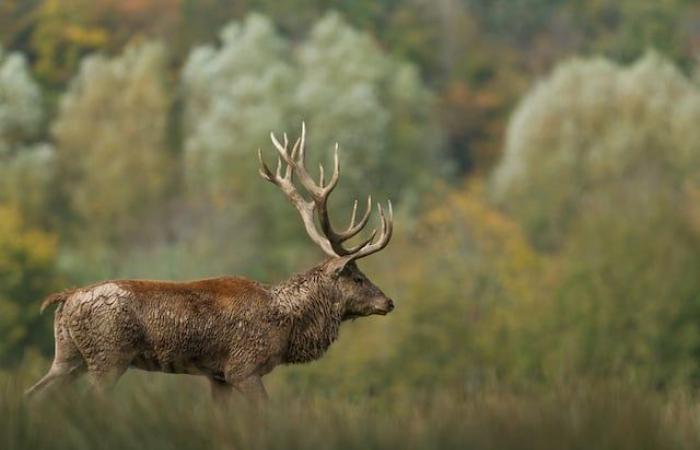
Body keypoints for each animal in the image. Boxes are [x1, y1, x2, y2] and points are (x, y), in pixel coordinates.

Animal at [26, 122, 394, 400]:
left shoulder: (217, 375)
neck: (286, 325)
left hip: (68, 355)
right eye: (358, 277)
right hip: (108, 356)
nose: (388, 302)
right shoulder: (243, 368)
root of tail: (65, 298)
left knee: (34, 394)